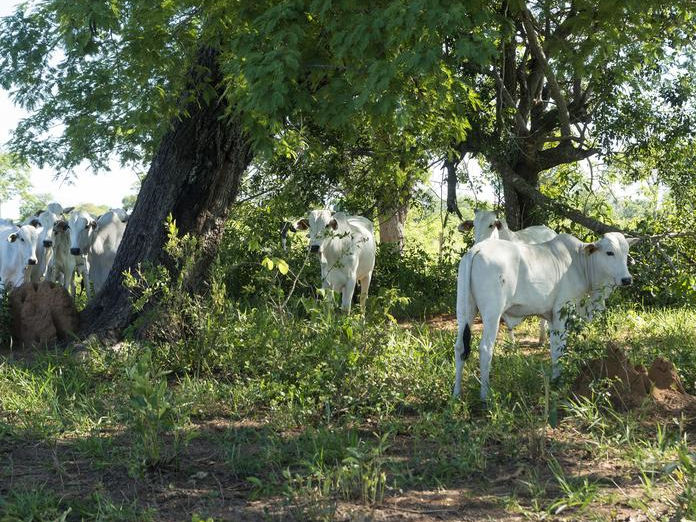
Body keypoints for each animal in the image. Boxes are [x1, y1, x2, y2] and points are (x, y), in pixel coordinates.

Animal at [454, 231, 640, 398]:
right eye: (609, 252)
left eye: (626, 252)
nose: (627, 279)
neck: (581, 262)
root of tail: (476, 249)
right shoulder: (562, 311)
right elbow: (559, 348)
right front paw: (559, 381)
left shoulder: (551, 318)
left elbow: (553, 347)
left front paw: (555, 378)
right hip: (492, 313)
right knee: (486, 349)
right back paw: (485, 396)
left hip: (465, 310)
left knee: (460, 347)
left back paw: (457, 394)